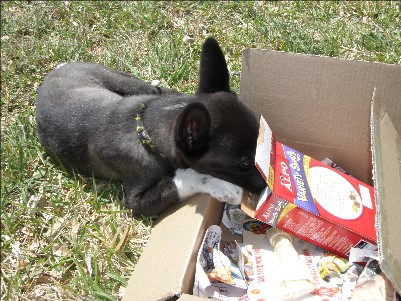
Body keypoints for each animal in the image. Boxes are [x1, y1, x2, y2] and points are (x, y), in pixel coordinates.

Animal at [35, 37, 266, 216]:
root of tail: (55, 71)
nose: (270, 188)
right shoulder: (137, 203)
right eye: (245, 163)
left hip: (122, 81)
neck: (146, 131)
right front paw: (222, 186)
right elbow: (182, 178)